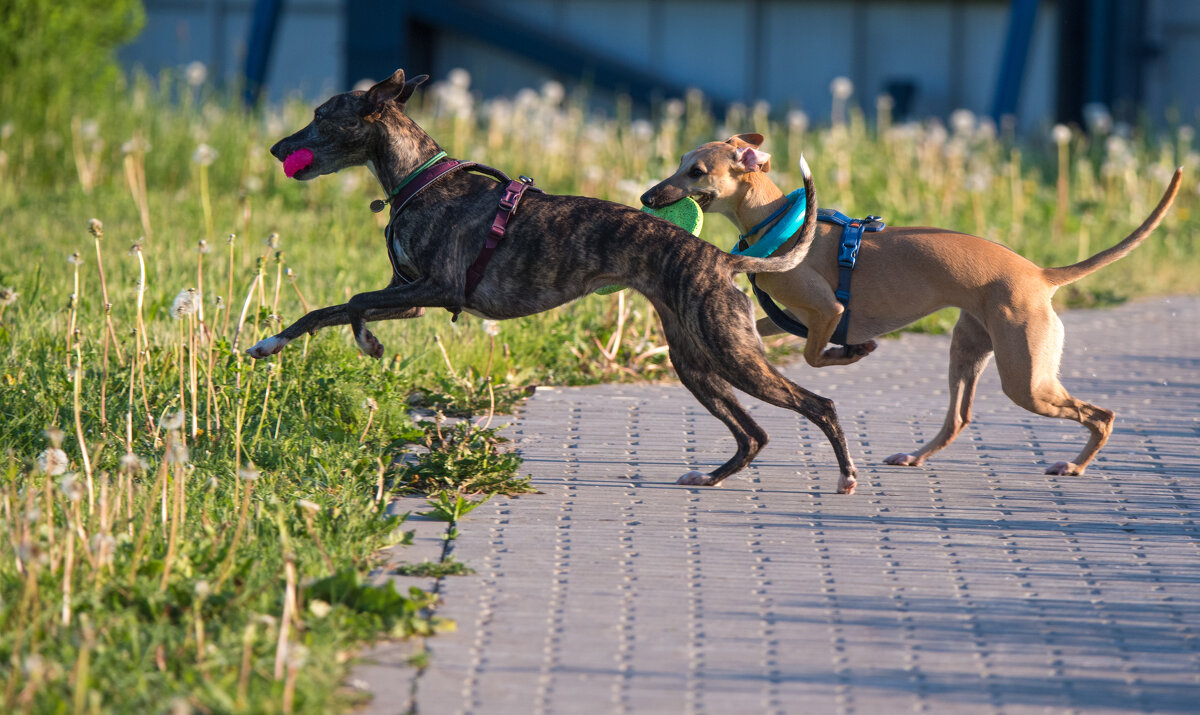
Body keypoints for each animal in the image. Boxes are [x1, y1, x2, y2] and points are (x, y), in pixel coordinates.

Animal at [246, 72, 864, 494]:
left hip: (731, 352)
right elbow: (325, 311)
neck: (425, 180)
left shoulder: (435, 291)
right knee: (753, 432)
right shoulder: (413, 300)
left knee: (819, 404)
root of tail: (721, 258)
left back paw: (846, 476)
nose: (275, 149)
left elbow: (353, 303)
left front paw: (368, 343)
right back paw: (712, 477)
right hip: (694, 359)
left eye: (322, 114)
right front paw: (268, 344)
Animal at [648, 135, 1180, 479]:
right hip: (968, 351)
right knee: (958, 418)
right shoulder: (795, 318)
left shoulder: (828, 313)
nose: (648, 196)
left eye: (696, 172)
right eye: (679, 162)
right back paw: (915, 457)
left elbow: (816, 356)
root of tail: (1041, 275)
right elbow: (779, 335)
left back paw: (1075, 465)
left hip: (1027, 382)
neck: (784, 220)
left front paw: (853, 353)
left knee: (1101, 414)